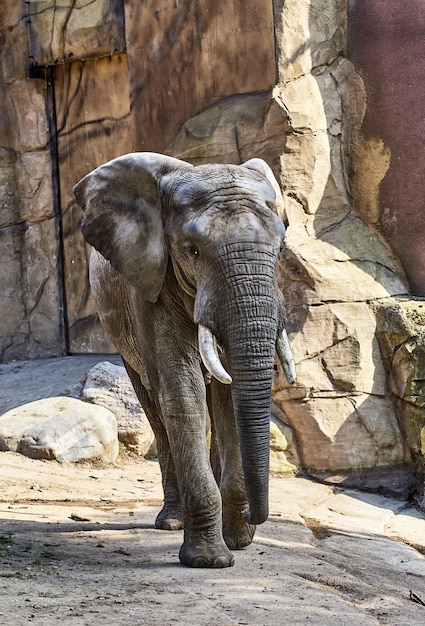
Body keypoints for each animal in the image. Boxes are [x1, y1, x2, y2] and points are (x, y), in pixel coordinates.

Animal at [73, 151, 294, 564]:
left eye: (281, 248)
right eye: (191, 250)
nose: (254, 518)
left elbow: (229, 398)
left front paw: (238, 539)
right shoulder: (150, 282)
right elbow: (182, 391)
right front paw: (210, 560)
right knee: (156, 407)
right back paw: (172, 522)